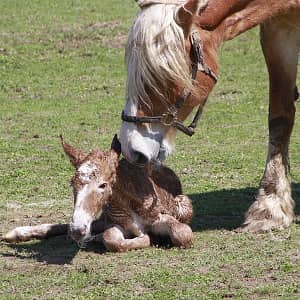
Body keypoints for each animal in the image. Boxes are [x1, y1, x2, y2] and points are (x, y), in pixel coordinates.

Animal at [2, 136, 193, 251]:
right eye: (72, 183)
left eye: (103, 185)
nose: (78, 230)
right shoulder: (117, 222)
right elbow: (111, 239)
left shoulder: (160, 216)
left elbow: (183, 234)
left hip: (184, 205)